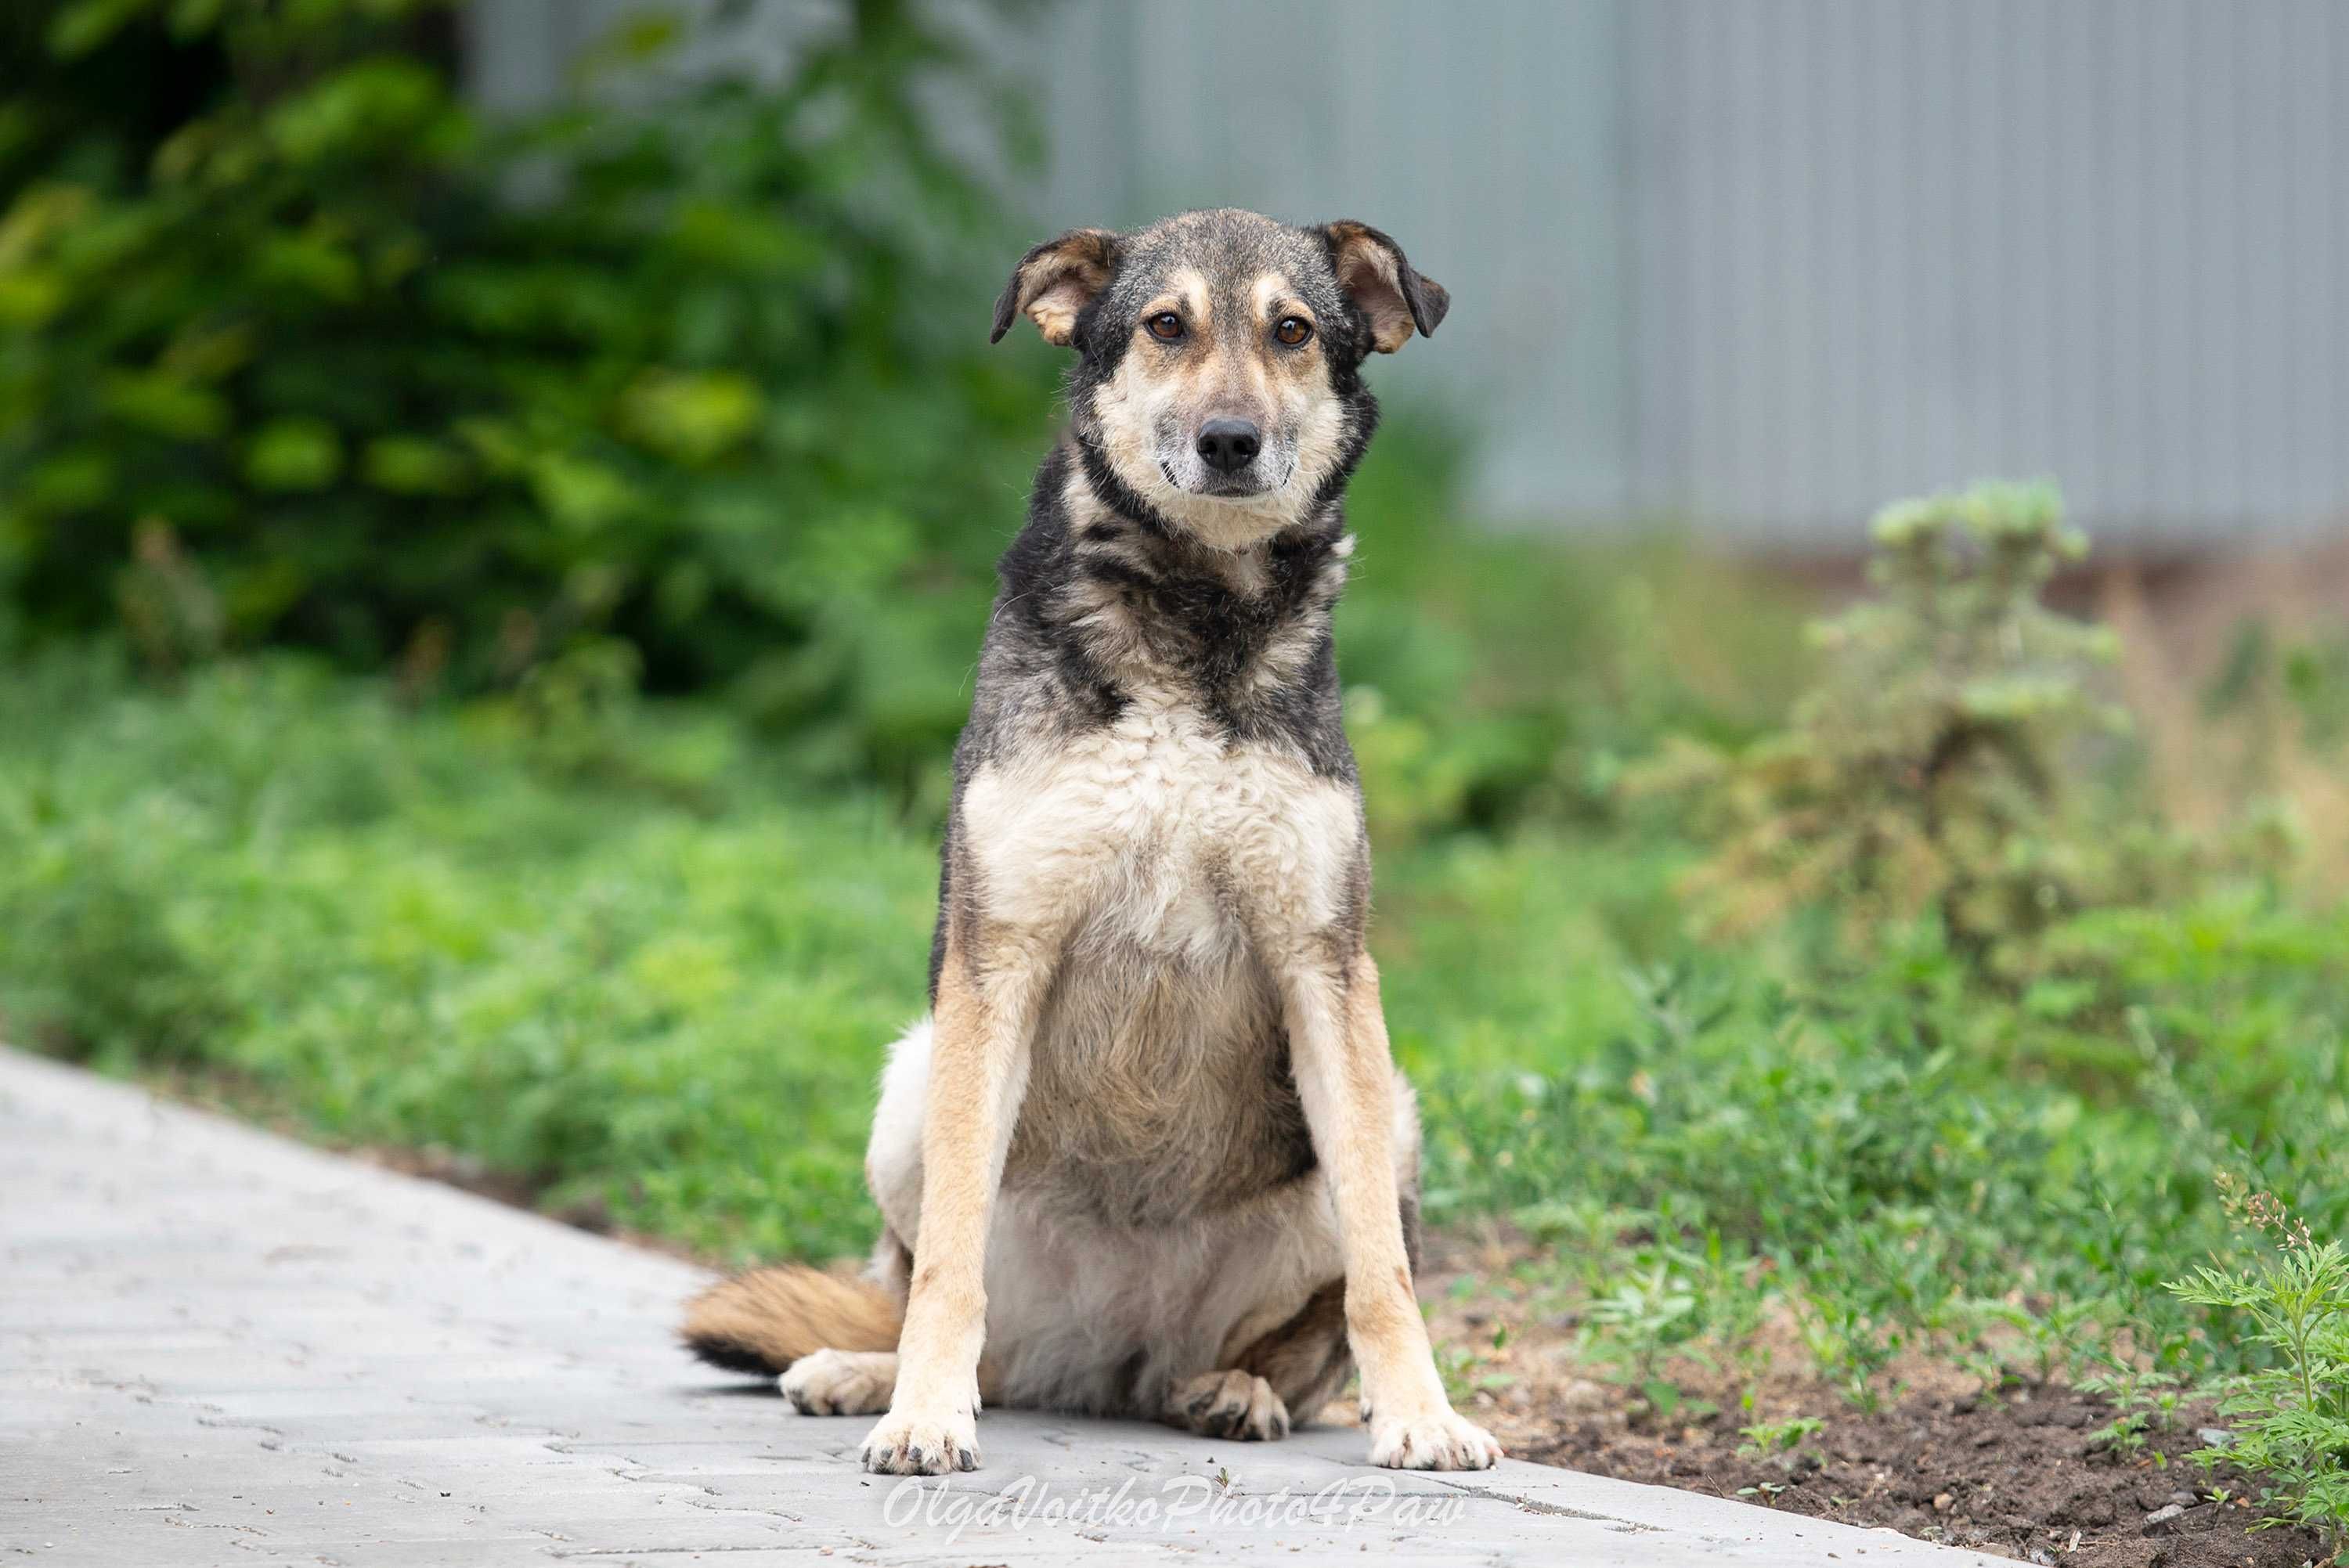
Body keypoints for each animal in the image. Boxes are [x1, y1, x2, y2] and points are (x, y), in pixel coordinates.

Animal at [681, 211, 1503, 1483]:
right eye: (1165, 325)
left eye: (1293, 331)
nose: (1231, 440)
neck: (1193, 612)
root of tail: (1108, 1360)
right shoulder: (998, 961)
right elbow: (950, 1264)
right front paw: (922, 1415)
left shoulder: (1327, 971)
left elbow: (1385, 1270)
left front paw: (1420, 1411)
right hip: (913, 1077)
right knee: (947, 1314)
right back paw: (867, 1373)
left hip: (1395, 1106)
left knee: (1288, 1355)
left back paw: (1231, 1389)